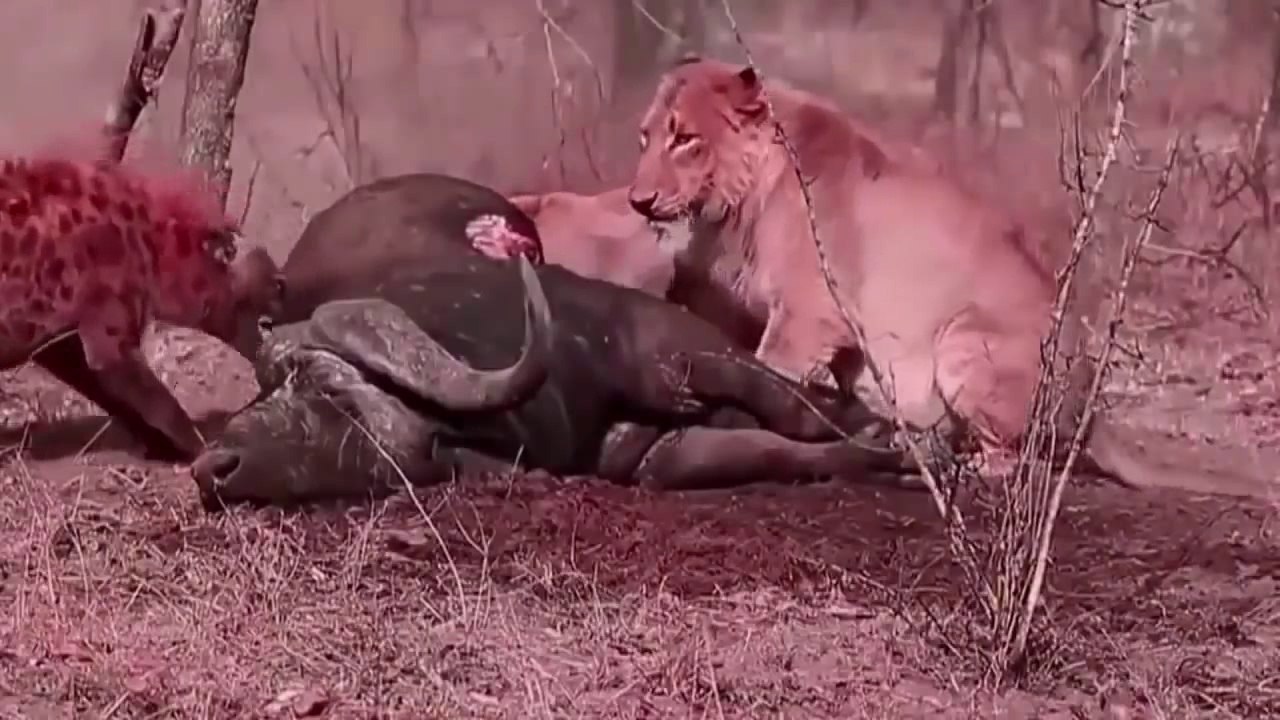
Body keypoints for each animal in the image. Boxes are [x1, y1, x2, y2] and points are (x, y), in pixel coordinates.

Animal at [623, 56, 1271, 498]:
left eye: (685, 139)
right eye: (645, 136)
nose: (637, 200)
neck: (734, 203)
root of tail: (1091, 408)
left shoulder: (807, 316)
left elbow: (769, 377)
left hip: (963, 342)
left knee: (1016, 463)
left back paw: (958, 467)